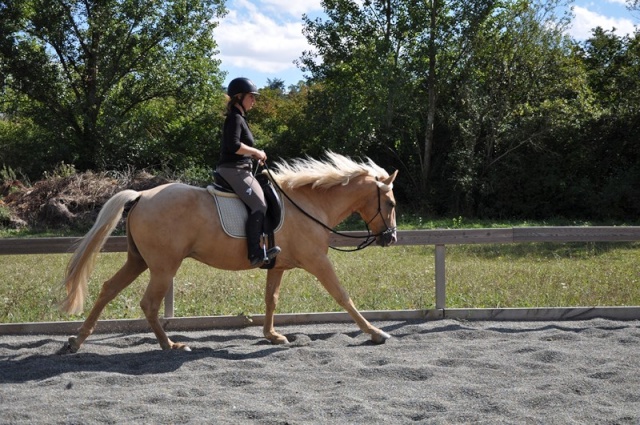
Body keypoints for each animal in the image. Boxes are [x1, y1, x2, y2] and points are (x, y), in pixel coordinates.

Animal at [61, 152, 400, 352]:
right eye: (391, 203)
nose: (391, 238)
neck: (309, 204)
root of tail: (142, 196)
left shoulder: (277, 266)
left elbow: (271, 299)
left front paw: (273, 336)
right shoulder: (318, 261)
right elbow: (343, 296)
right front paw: (375, 333)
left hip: (139, 261)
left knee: (108, 289)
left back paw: (76, 340)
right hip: (163, 267)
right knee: (149, 304)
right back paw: (171, 345)